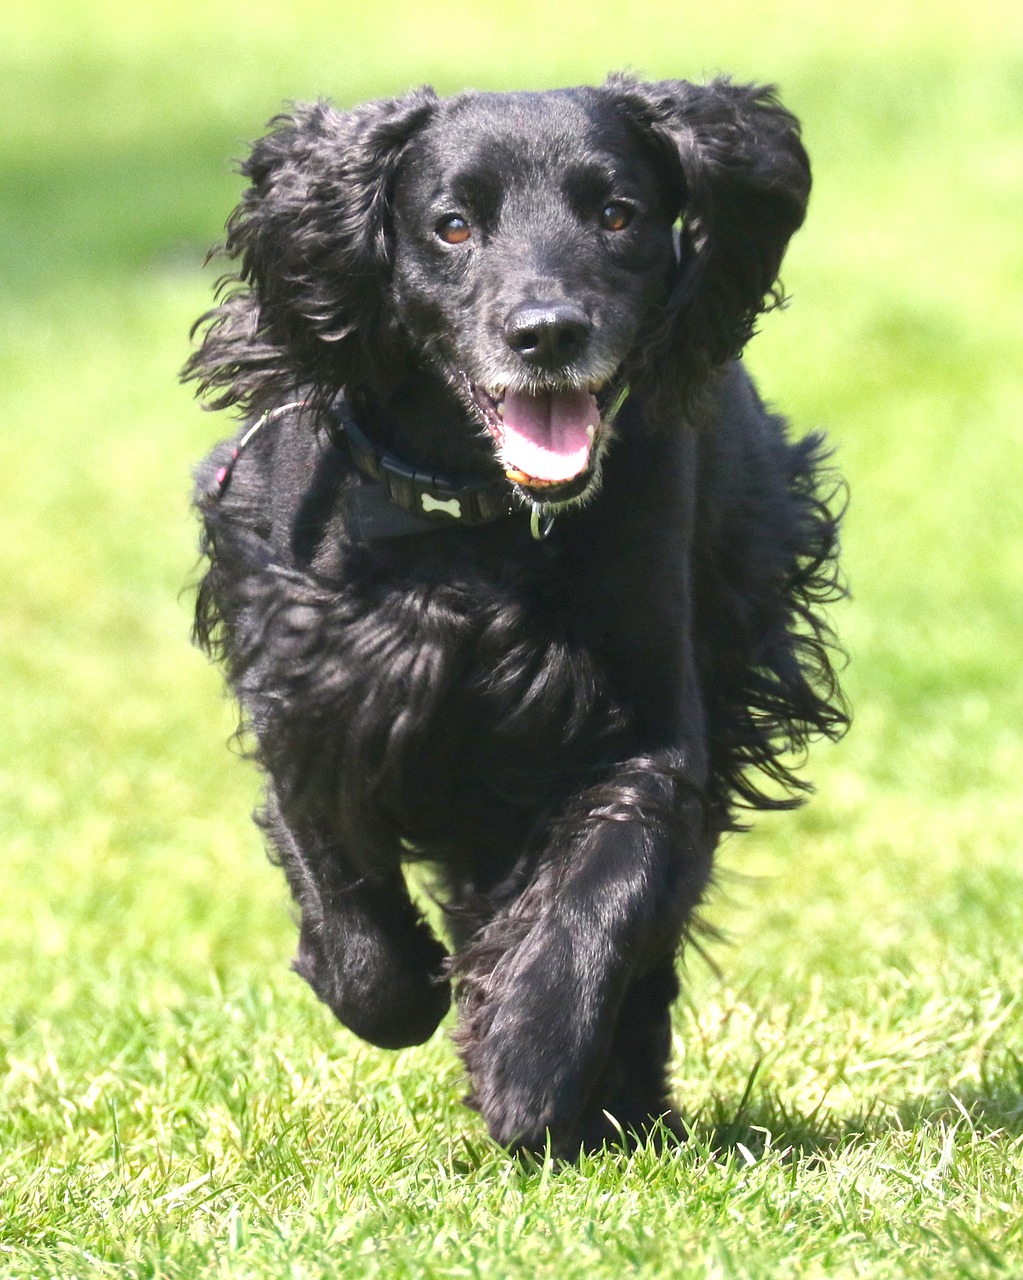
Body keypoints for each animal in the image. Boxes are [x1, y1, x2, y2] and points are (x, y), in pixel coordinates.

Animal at [185, 77, 850, 1162]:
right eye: (452, 225)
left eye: (618, 213)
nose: (547, 331)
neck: (475, 520)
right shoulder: (309, 689)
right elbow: (345, 903)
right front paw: (404, 989)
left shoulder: (641, 723)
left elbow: (606, 890)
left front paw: (526, 1060)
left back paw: (621, 1102)